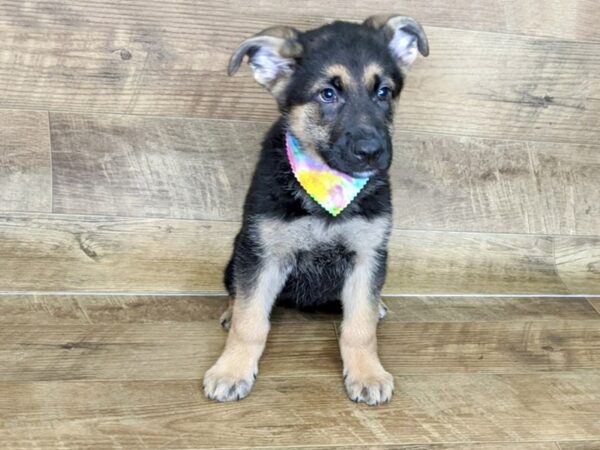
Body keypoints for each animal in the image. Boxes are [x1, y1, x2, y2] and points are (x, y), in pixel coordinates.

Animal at [204, 15, 428, 406]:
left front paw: (367, 373)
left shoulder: (367, 256)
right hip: (236, 254)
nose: (372, 153)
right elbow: (251, 321)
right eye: (328, 94)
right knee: (237, 294)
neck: (329, 185)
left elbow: (360, 326)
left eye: (383, 92)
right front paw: (231, 370)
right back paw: (230, 312)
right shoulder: (263, 254)